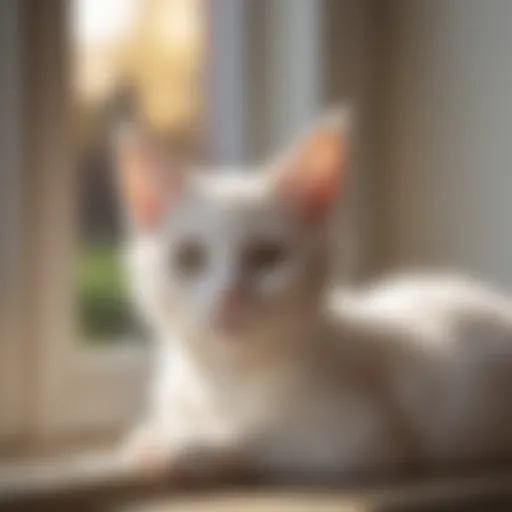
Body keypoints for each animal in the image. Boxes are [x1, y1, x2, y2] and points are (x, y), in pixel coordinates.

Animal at [114, 108, 512, 484]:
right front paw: (166, 434)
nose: (229, 296)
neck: (223, 379)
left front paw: (191, 446)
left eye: (267, 257)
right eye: (189, 257)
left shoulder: (366, 435)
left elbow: (262, 435)